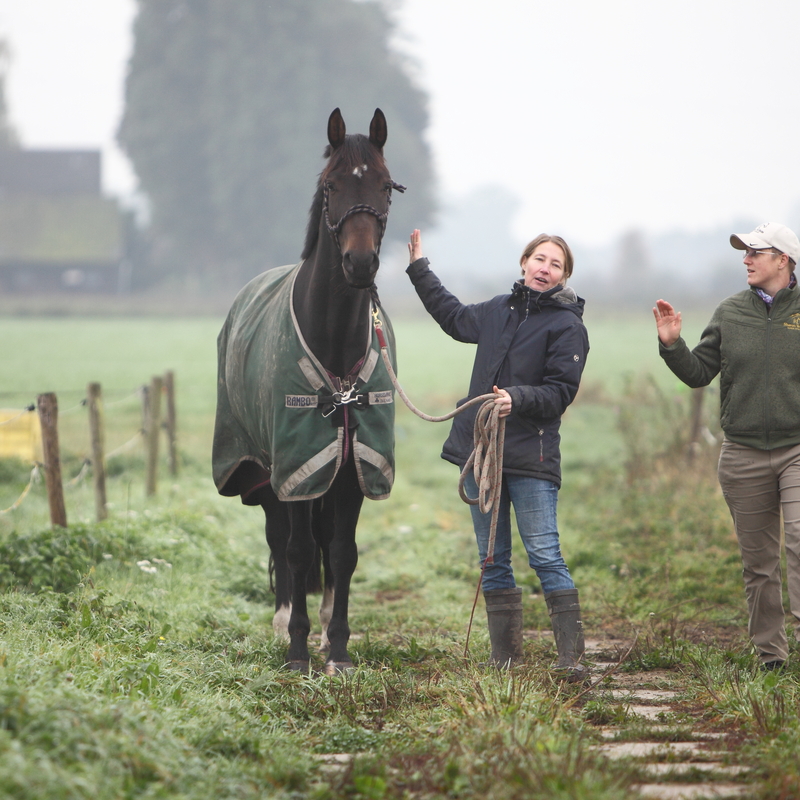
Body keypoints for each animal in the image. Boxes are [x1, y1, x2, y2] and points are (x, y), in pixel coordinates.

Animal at [212, 108, 403, 673]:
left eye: (386, 186)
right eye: (330, 185)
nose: (360, 264)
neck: (335, 345)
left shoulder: (353, 462)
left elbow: (342, 551)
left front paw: (336, 647)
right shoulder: (296, 462)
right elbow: (296, 551)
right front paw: (297, 651)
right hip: (264, 465)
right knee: (281, 536)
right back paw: (283, 625)